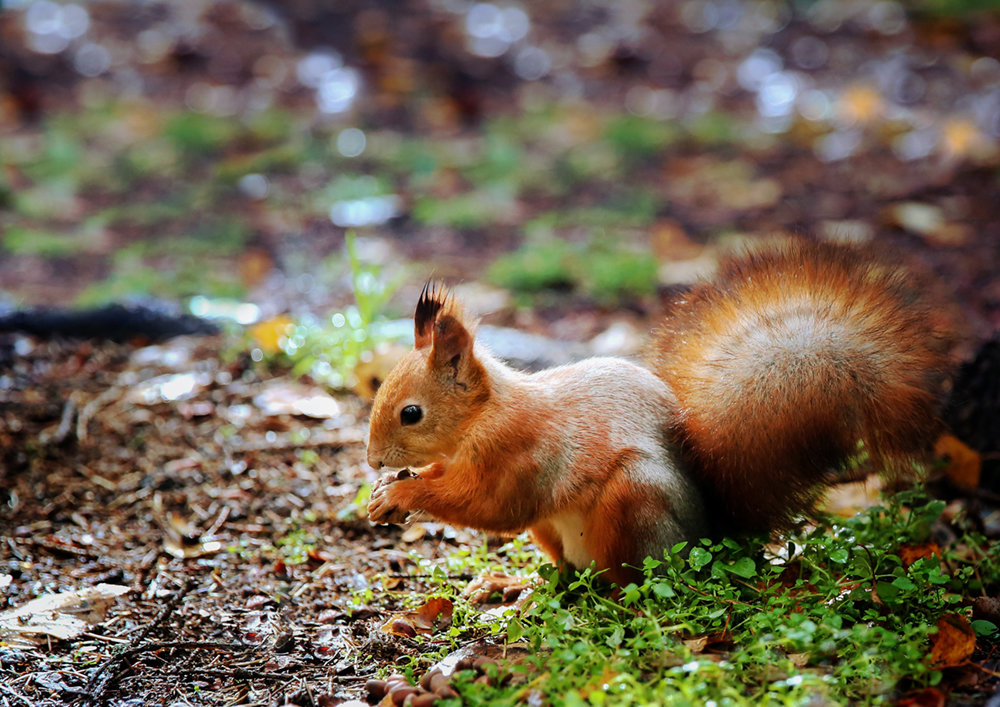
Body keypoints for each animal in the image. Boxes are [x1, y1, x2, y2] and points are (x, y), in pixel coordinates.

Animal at [364, 243, 948, 588]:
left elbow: (489, 504)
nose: (371, 460)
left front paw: (404, 493)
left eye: (411, 413)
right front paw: (389, 491)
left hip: (635, 500)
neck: (483, 417)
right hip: (554, 533)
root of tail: (711, 539)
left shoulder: (521, 453)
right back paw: (525, 587)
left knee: (631, 580)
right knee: (567, 571)